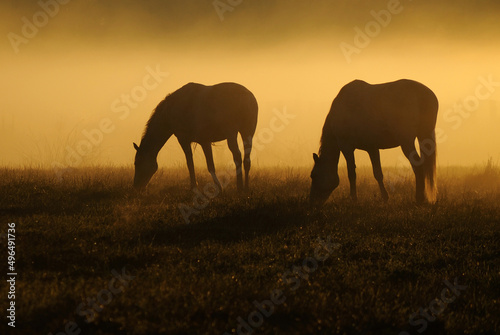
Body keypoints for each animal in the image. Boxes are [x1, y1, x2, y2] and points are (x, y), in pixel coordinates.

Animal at [310, 80, 440, 206]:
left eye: (313, 175)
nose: (312, 201)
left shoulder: (346, 147)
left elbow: (351, 173)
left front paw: (354, 199)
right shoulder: (372, 148)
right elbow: (378, 173)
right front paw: (385, 197)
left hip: (406, 142)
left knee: (417, 165)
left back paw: (419, 198)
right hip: (422, 135)